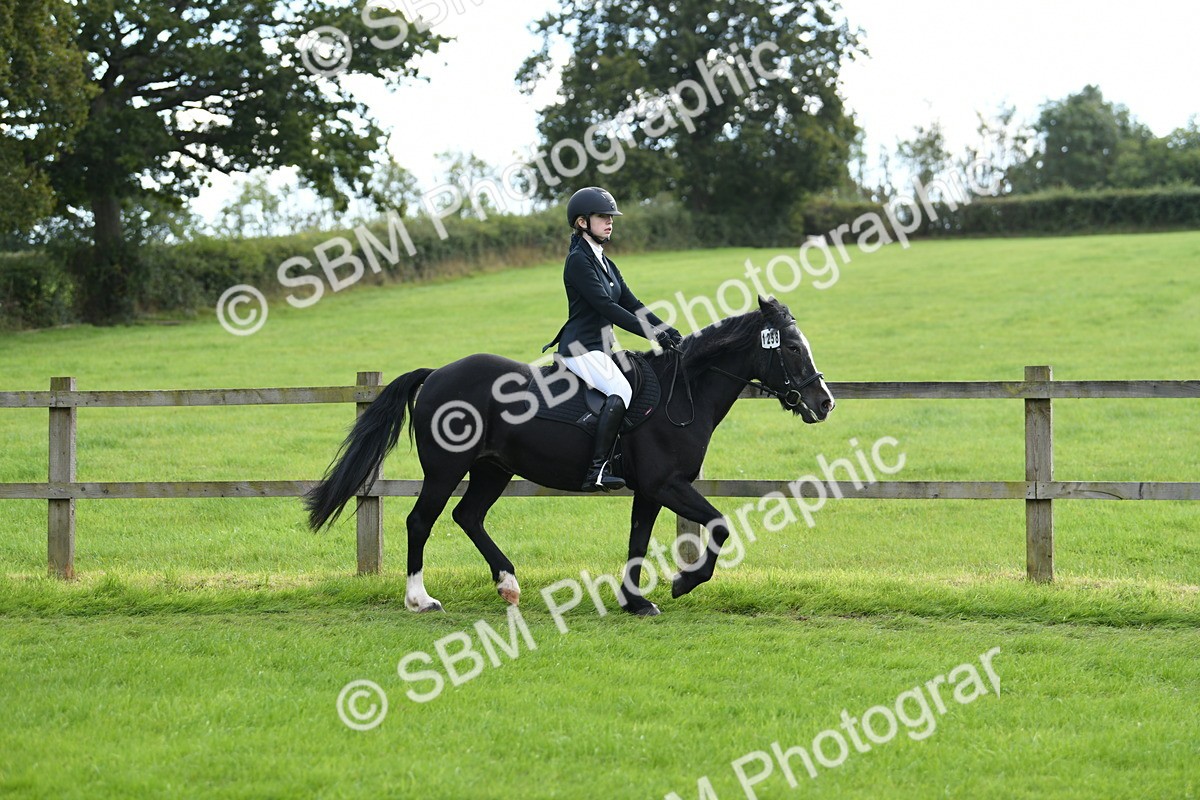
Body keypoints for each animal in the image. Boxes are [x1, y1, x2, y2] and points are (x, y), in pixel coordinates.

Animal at [304, 296, 835, 616]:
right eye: (791, 346)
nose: (824, 402)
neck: (681, 393)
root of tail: (436, 373)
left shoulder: (651, 491)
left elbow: (637, 540)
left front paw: (635, 602)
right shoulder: (667, 484)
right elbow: (720, 525)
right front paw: (682, 584)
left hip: (492, 469)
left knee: (468, 516)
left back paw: (508, 584)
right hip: (445, 469)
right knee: (422, 521)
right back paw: (420, 599)